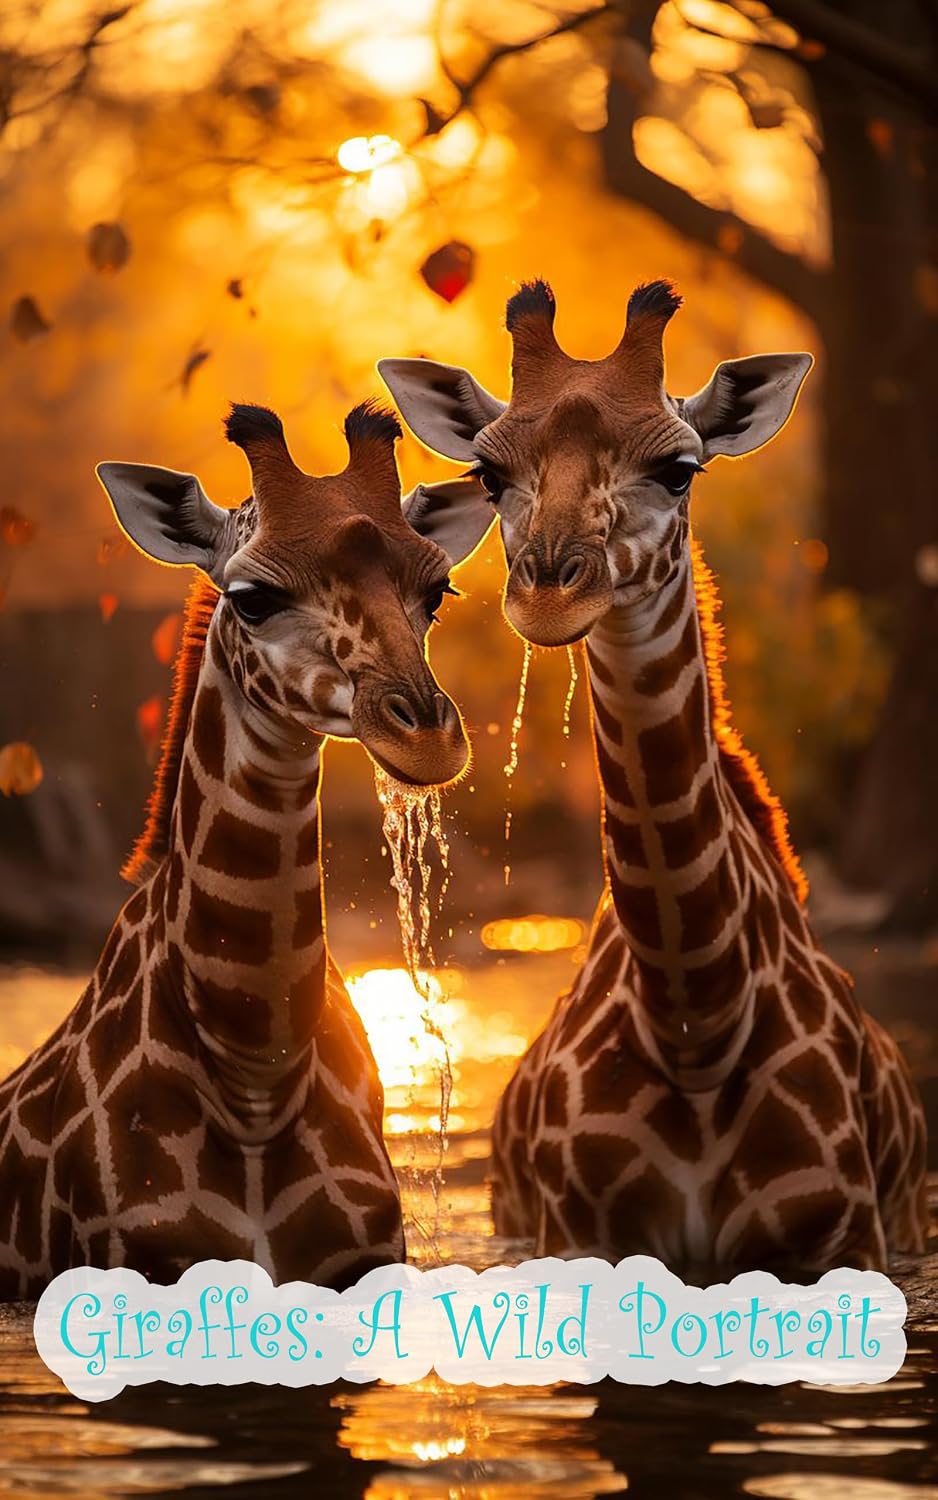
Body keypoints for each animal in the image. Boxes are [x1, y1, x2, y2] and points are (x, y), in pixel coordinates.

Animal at [380, 280, 928, 1275]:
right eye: (489, 477)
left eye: (680, 471)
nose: (548, 593)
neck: (696, 1016)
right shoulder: (577, 1236)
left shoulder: (840, 1235)